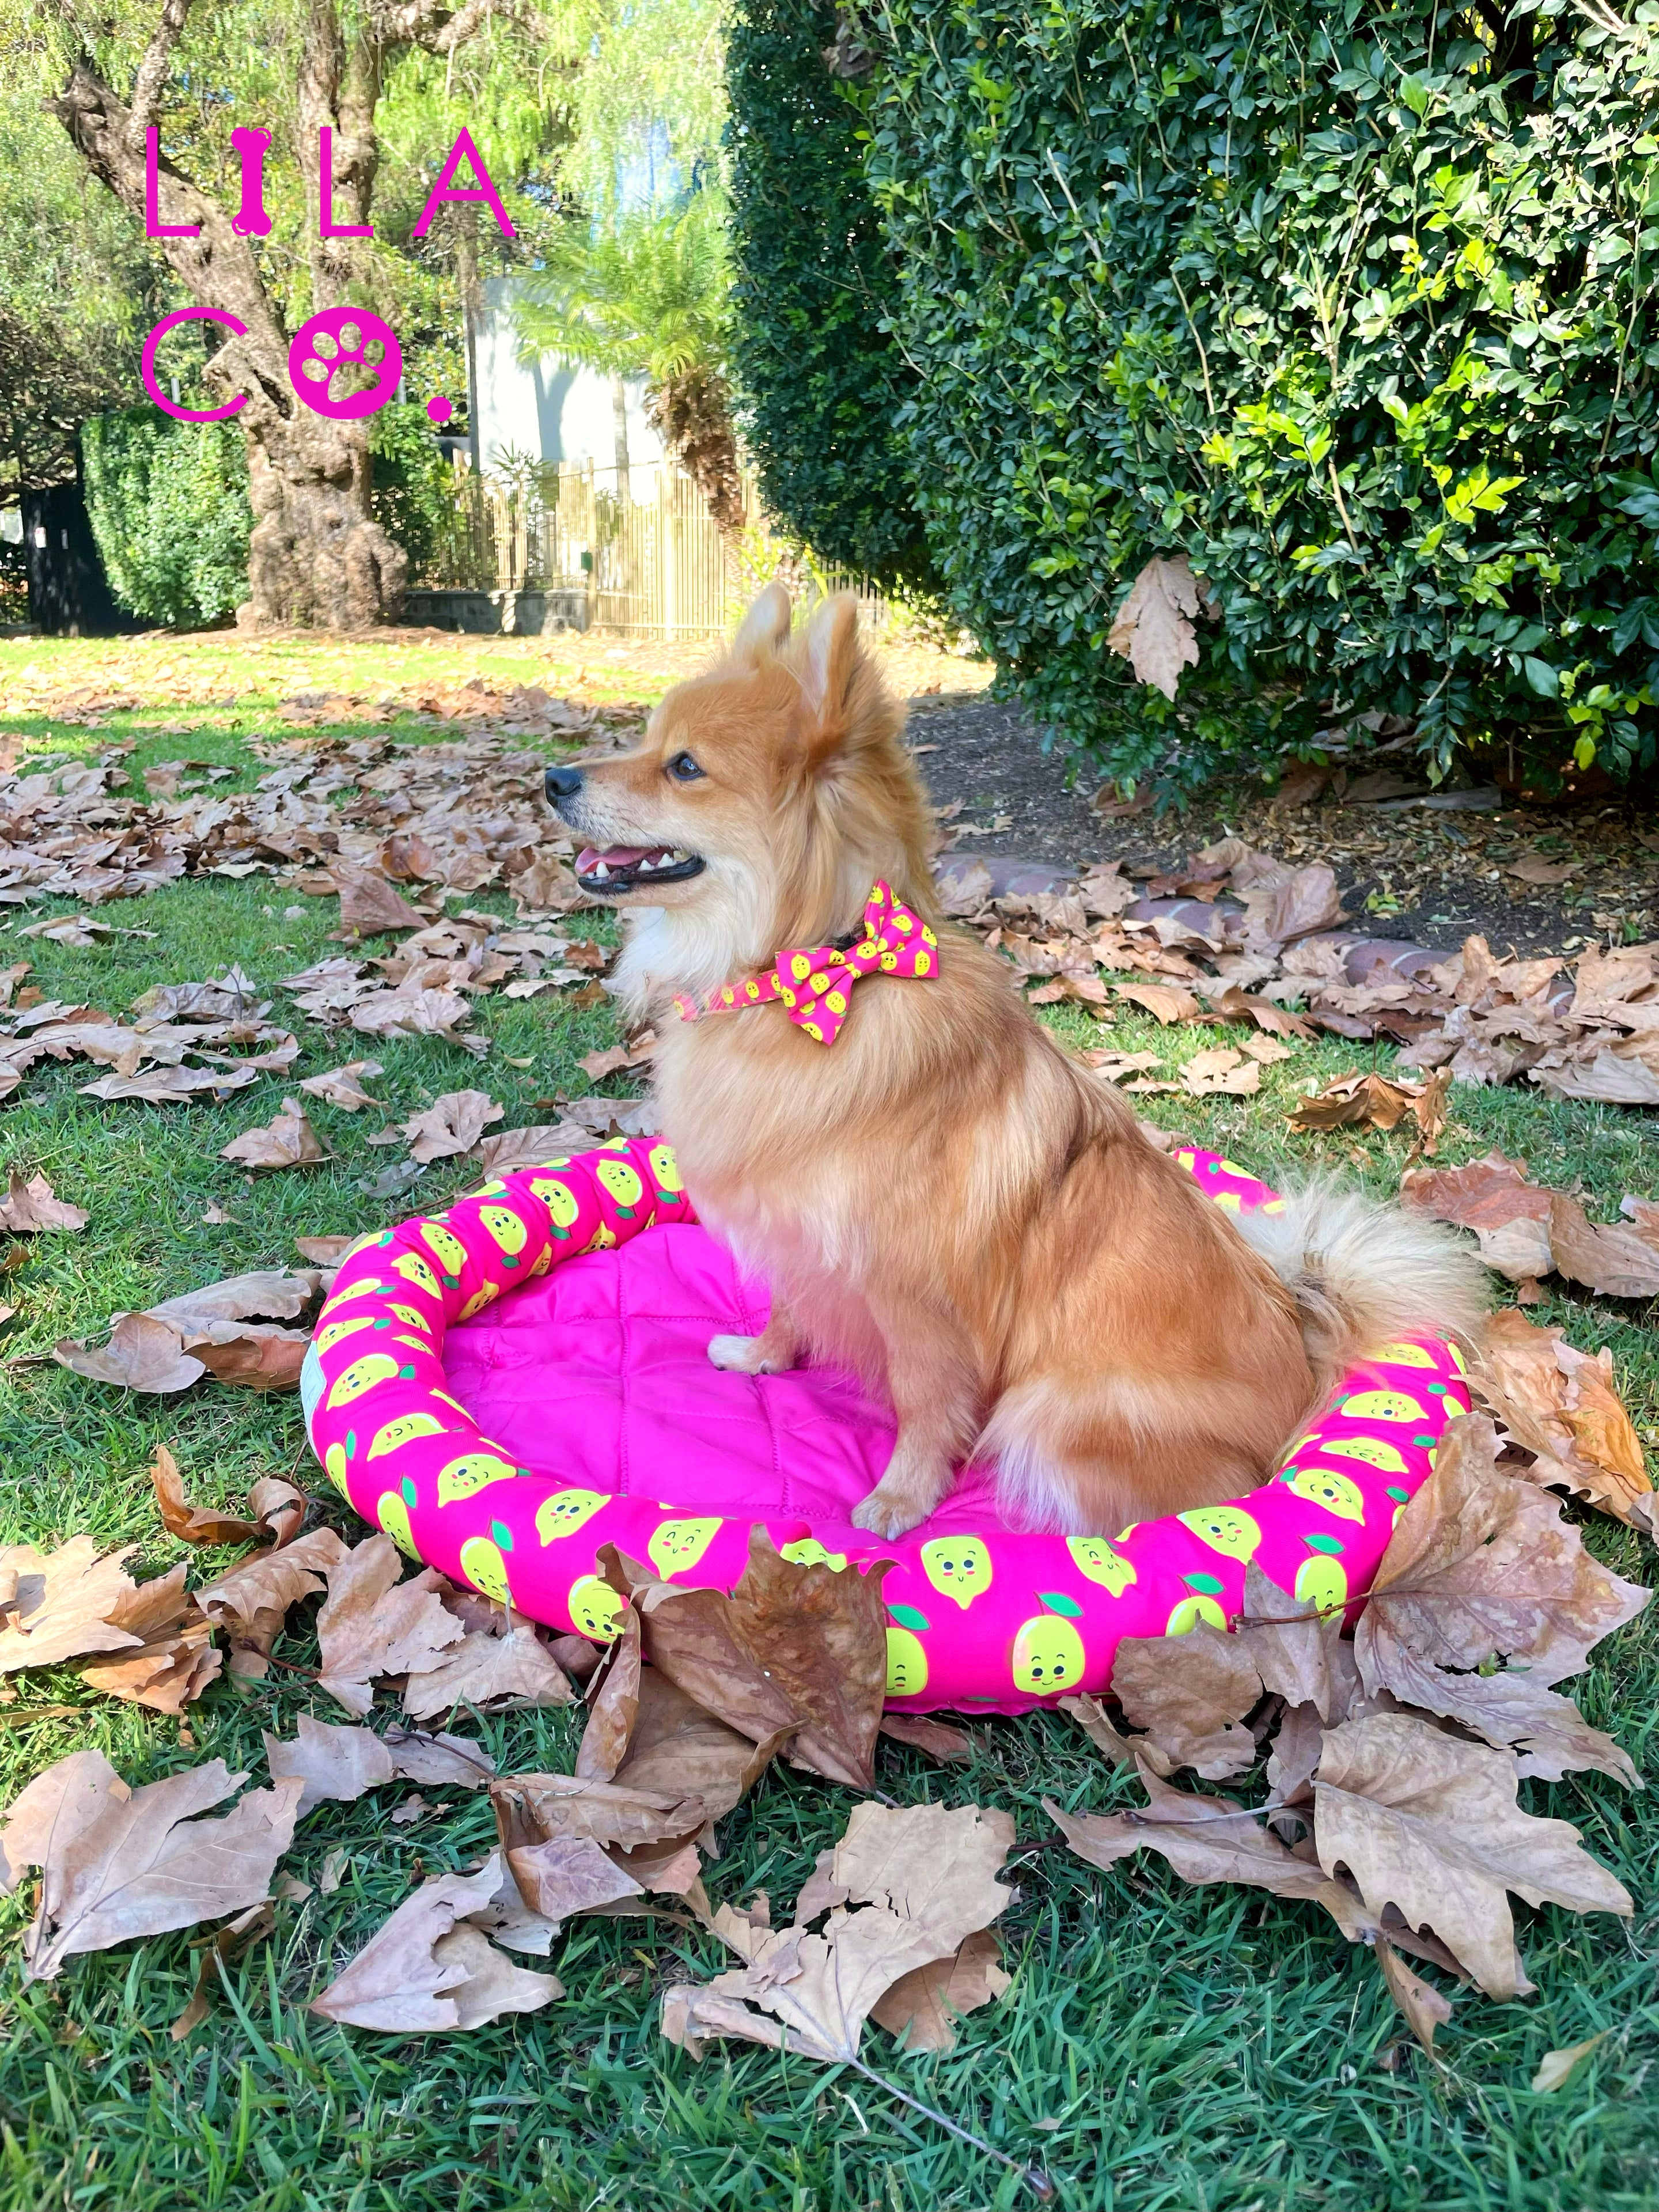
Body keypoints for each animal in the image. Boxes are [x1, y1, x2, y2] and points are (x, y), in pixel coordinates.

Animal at [543, 585, 1487, 1540]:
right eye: (648, 741)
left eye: (684, 768)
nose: (556, 780)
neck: (811, 974)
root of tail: (1304, 1358)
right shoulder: (802, 1235)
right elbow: (790, 1302)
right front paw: (764, 1355)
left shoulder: (918, 1305)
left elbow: (925, 1404)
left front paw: (900, 1501)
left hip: (1050, 1416)